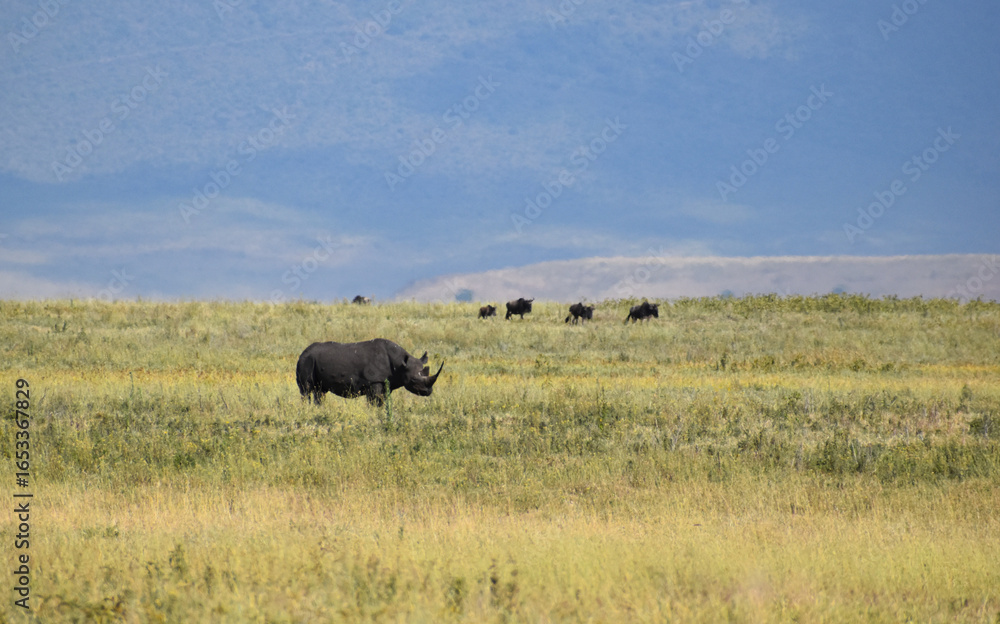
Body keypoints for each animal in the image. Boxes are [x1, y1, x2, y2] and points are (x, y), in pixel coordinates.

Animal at [296, 338, 443, 406]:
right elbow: (375, 401)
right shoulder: (374, 381)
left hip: (311, 360)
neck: (400, 364)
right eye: (413, 380)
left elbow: (383, 400)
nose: (427, 391)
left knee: (320, 391)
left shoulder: (386, 383)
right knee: (306, 389)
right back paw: (306, 409)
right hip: (306, 361)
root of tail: (302, 353)